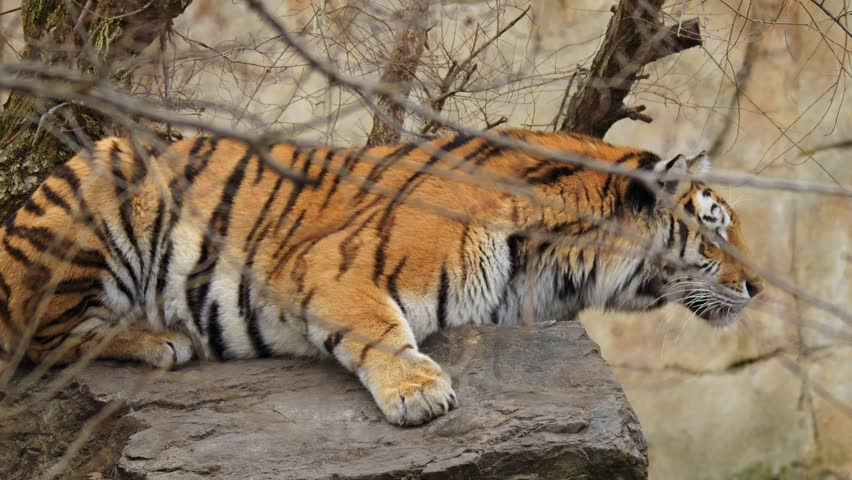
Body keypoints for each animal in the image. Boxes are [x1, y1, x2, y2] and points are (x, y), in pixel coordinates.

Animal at [0, 129, 763, 426]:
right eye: (716, 228)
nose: (759, 287)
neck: (560, 262)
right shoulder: (332, 262)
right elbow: (379, 327)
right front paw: (419, 393)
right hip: (102, 180)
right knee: (45, 339)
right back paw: (161, 339)